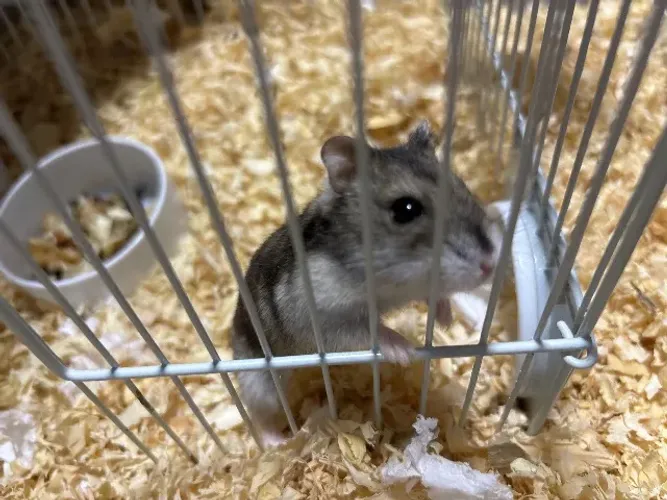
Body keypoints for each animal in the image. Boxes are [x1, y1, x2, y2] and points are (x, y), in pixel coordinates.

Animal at [232, 120, 497, 447]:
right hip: (260, 380)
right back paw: (279, 444)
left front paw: (445, 321)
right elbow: (369, 331)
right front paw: (405, 352)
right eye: (406, 209)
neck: (385, 280)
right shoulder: (326, 320)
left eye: (460, 185)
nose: (490, 265)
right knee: (259, 414)